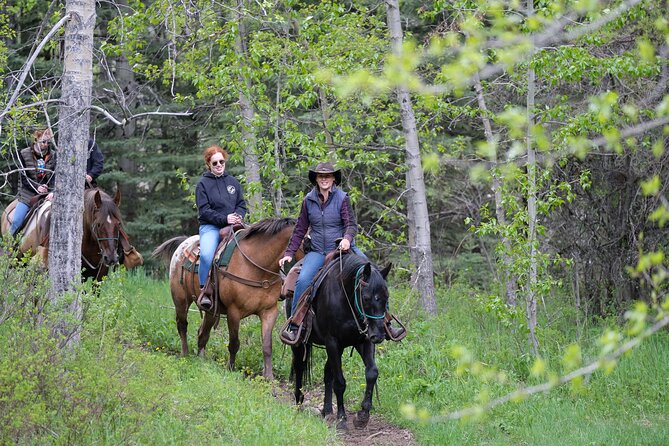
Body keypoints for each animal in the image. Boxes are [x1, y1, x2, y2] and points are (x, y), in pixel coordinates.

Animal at [153, 218, 302, 378]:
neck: (257, 267)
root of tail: (184, 243)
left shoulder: (269, 311)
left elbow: (267, 345)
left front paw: (269, 377)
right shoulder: (234, 312)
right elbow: (234, 343)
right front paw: (230, 369)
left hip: (211, 311)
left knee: (202, 333)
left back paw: (201, 360)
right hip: (181, 301)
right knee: (182, 325)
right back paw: (185, 355)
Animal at [288, 254, 392, 432]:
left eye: (386, 297)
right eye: (366, 298)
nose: (379, 335)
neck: (346, 299)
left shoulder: (364, 340)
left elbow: (372, 373)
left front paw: (362, 415)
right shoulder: (332, 342)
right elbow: (340, 383)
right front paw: (342, 419)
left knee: (327, 373)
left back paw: (328, 411)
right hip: (301, 344)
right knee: (299, 367)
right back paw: (299, 403)